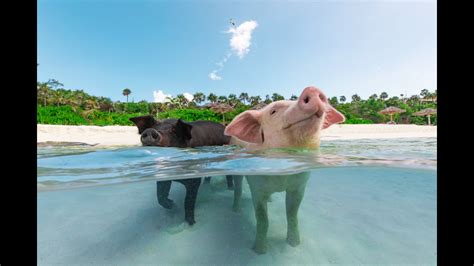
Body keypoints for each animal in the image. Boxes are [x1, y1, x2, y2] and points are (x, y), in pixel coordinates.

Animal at [224, 86, 342, 255]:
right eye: (273, 111)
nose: (312, 88)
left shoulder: (299, 186)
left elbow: (292, 214)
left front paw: (294, 244)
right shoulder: (256, 187)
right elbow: (262, 218)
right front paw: (259, 251)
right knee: (238, 188)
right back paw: (236, 210)